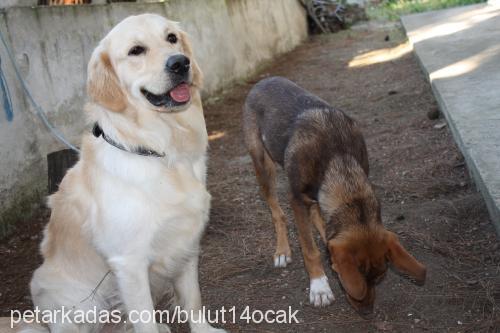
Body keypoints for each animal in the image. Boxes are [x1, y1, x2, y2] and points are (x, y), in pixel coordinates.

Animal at [243, 76, 426, 316]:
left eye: (378, 279)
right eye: (348, 279)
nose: (367, 312)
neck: (338, 159)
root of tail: (263, 80)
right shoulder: (297, 200)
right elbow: (310, 250)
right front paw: (319, 286)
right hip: (262, 165)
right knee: (277, 212)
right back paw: (282, 251)